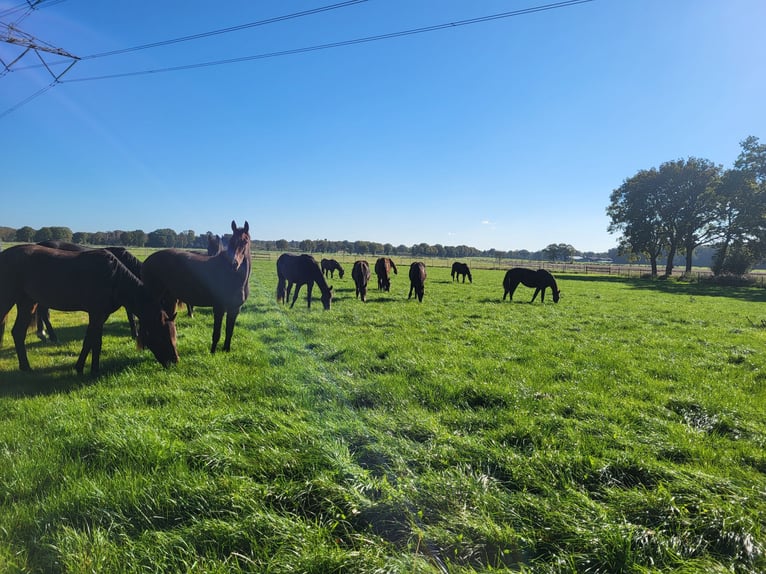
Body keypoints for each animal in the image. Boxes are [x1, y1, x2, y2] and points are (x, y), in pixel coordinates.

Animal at [0, 244, 178, 376]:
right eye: (162, 336)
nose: (175, 361)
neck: (113, 278)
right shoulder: (96, 313)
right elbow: (93, 341)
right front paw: (89, 370)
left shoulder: (101, 315)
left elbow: (92, 341)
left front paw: (85, 368)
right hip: (9, 300)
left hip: (27, 302)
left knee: (18, 332)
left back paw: (26, 367)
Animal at [142, 222, 254, 356]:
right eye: (231, 241)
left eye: (245, 241)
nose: (233, 263)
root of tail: (147, 261)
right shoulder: (219, 308)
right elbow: (217, 333)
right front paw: (212, 353)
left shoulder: (235, 309)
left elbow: (229, 332)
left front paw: (226, 350)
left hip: (168, 299)